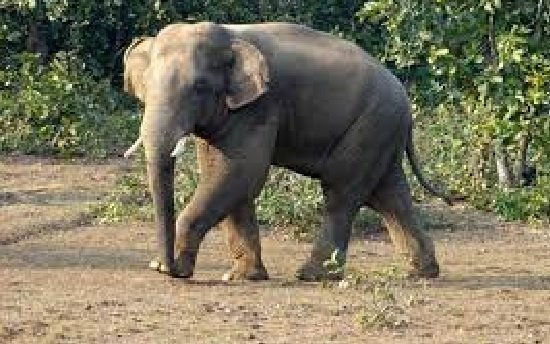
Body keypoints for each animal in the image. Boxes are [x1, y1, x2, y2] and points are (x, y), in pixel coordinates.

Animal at [123, 21, 454, 280]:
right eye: (146, 86)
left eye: (200, 87)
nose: (163, 266)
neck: (230, 37)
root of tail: (406, 103)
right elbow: (230, 178)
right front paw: (243, 277)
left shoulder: (260, 106)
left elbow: (239, 173)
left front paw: (174, 270)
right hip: (381, 131)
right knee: (388, 194)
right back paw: (421, 272)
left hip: (371, 125)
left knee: (342, 193)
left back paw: (311, 275)